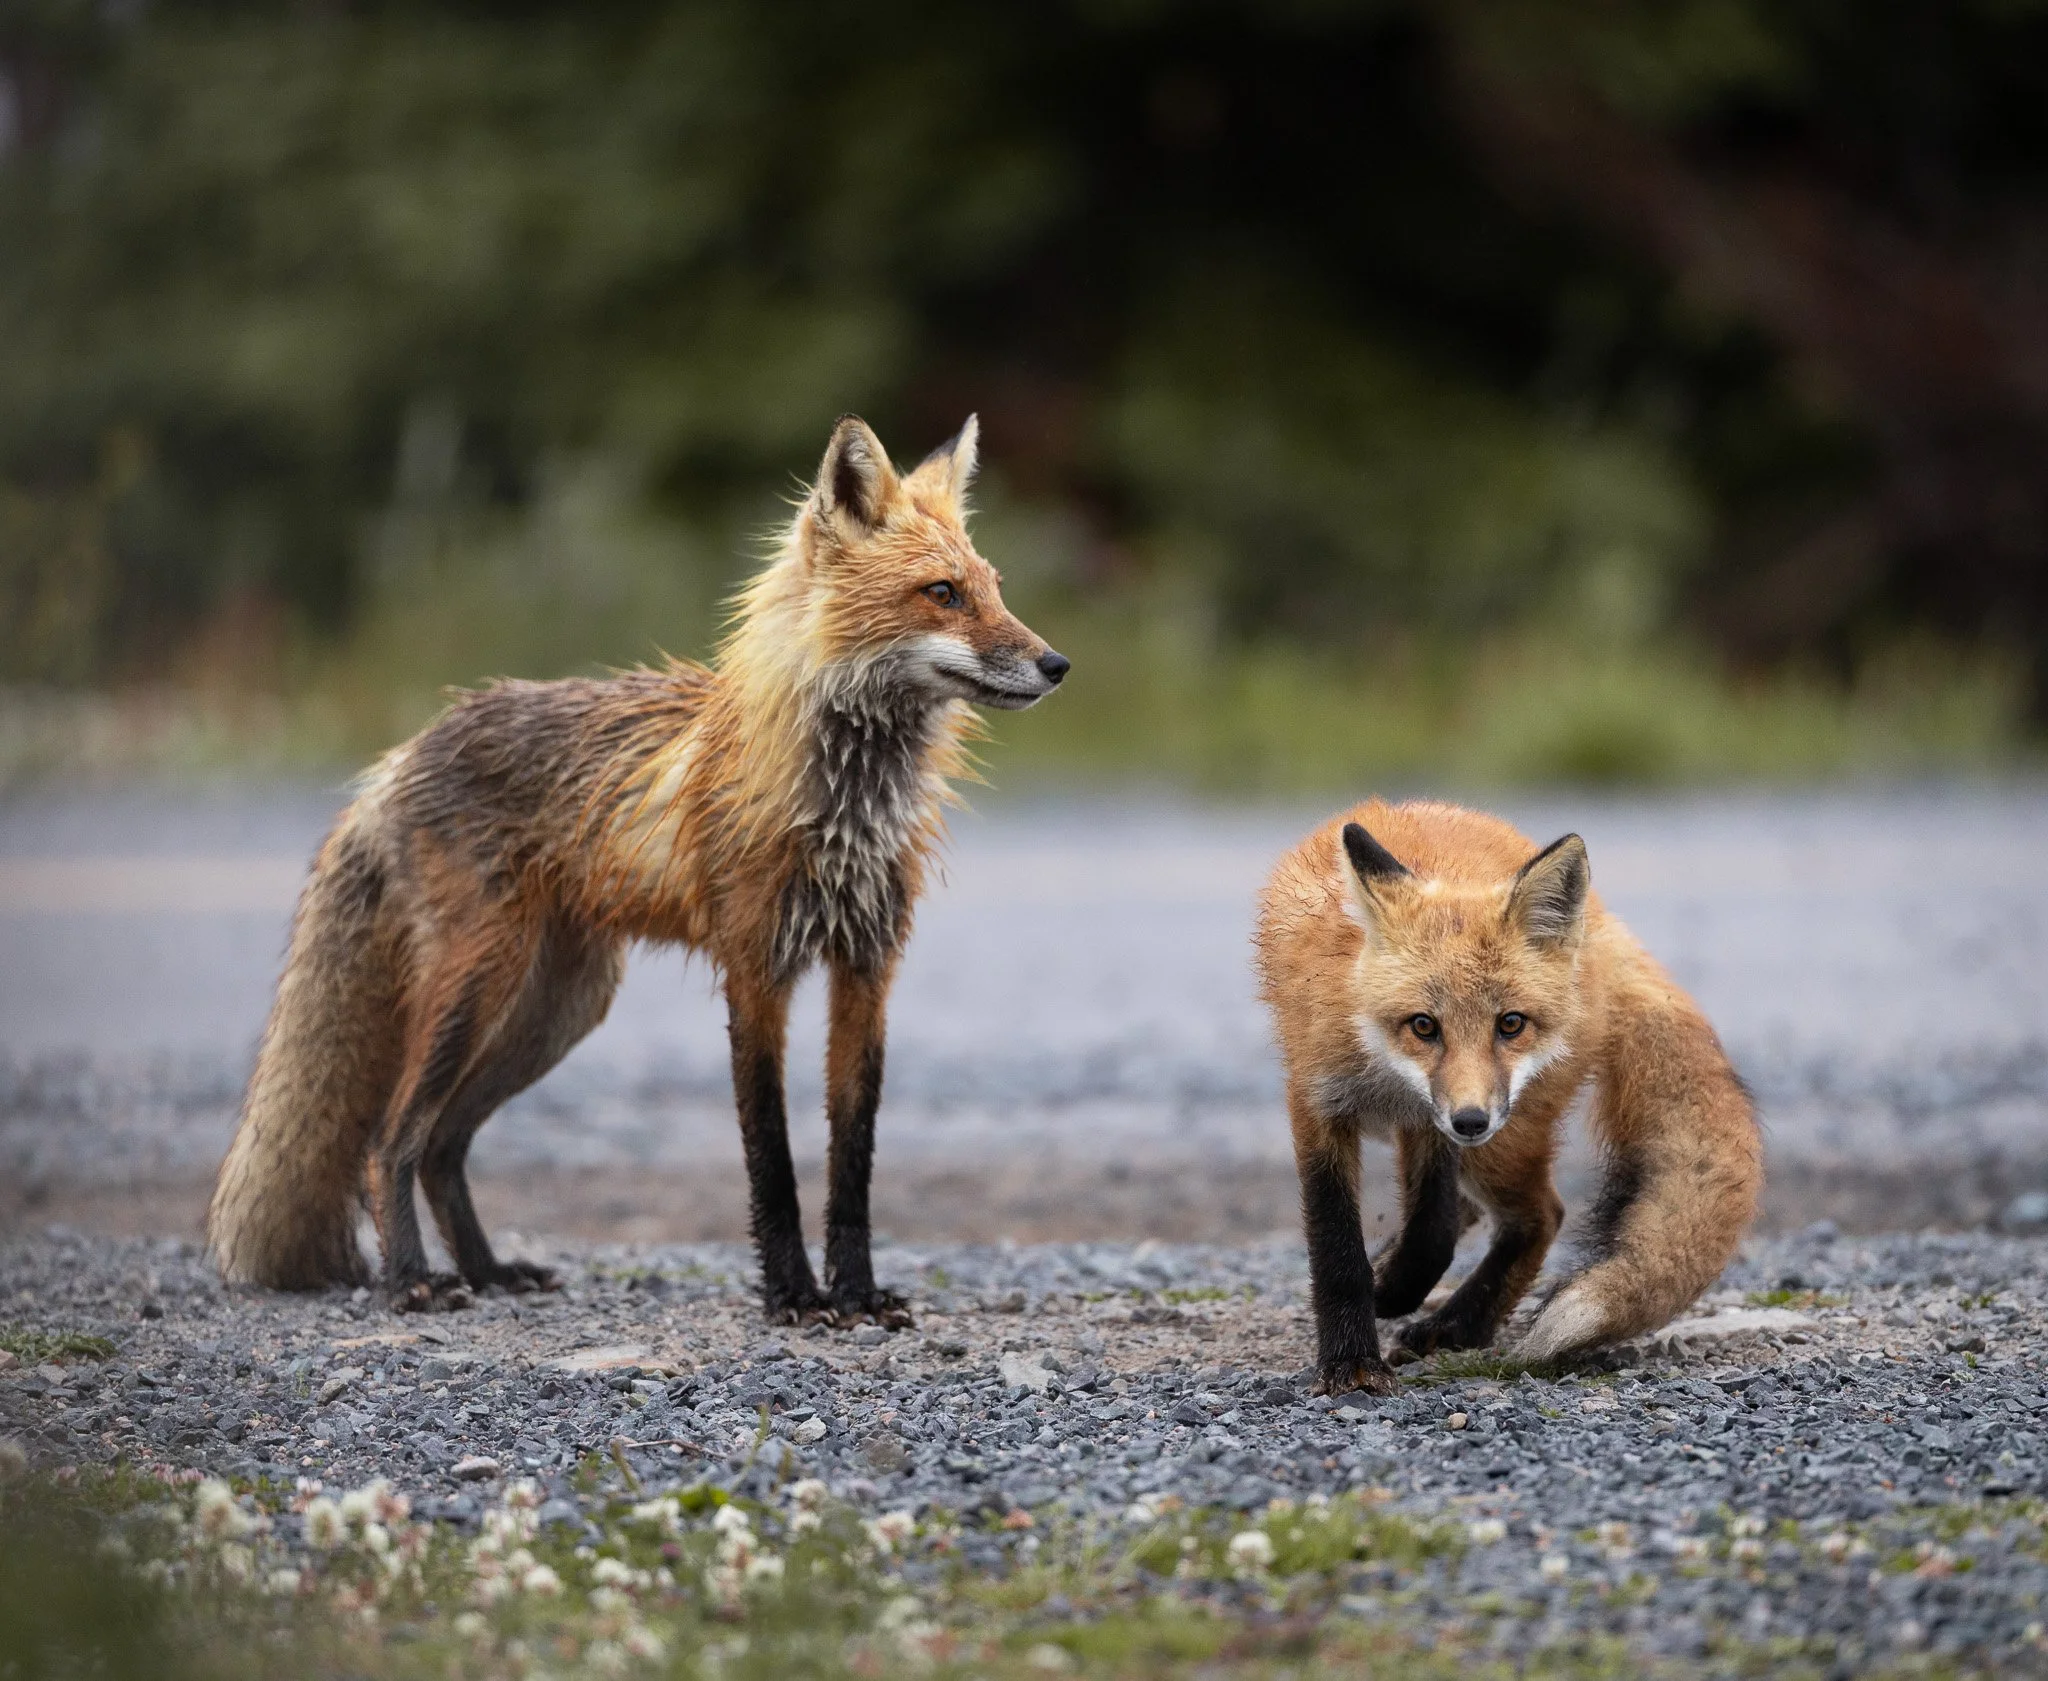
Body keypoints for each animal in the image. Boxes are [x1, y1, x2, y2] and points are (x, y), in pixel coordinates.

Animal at [207, 414, 1069, 1322]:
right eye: (943, 593)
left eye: (995, 588)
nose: (1057, 664)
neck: (842, 808)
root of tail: (403, 751)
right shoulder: (753, 970)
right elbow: (772, 1157)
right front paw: (794, 1295)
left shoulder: (868, 968)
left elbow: (853, 1159)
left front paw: (858, 1293)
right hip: (480, 984)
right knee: (391, 1137)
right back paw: (412, 1277)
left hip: (559, 1008)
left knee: (442, 1143)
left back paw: (489, 1270)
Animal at [1255, 799, 1762, 1394]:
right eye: (1423, 1025)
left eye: (1510, 1023)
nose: (1471, 1121)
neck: (1383, 1070)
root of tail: (1601, 928)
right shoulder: (1323, 1101)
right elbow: (1337, 1242)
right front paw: (1352, 1359)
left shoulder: (1431, 1122)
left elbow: (1434, 1233)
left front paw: (1391, 1301)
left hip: (1505, 1139)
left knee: (1541, 1214)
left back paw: (1458, 1324)